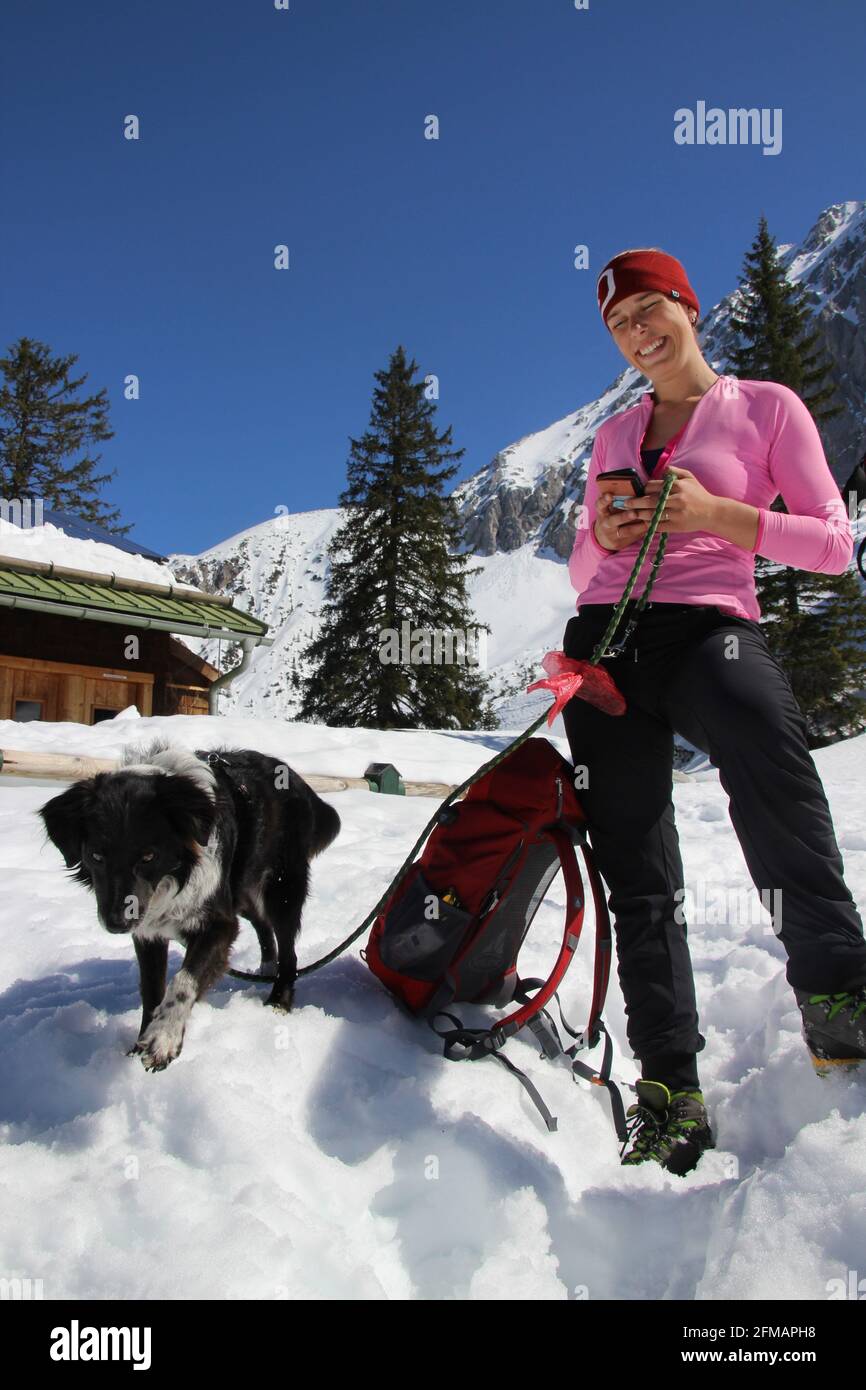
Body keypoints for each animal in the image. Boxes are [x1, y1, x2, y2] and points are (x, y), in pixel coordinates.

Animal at [40, 745, 340, 1067]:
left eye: (149, 856)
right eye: (96, 856)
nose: (117, 923)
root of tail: (299, 781)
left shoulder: (217, 923)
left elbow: (184, 980)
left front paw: (163, 1039)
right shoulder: (148, 930)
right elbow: (152, 990)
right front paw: (141, 1043)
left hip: (281, 888)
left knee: (288, 950)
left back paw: (278, 1001)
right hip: (242, 888)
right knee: (261, 924)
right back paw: (266, 967)